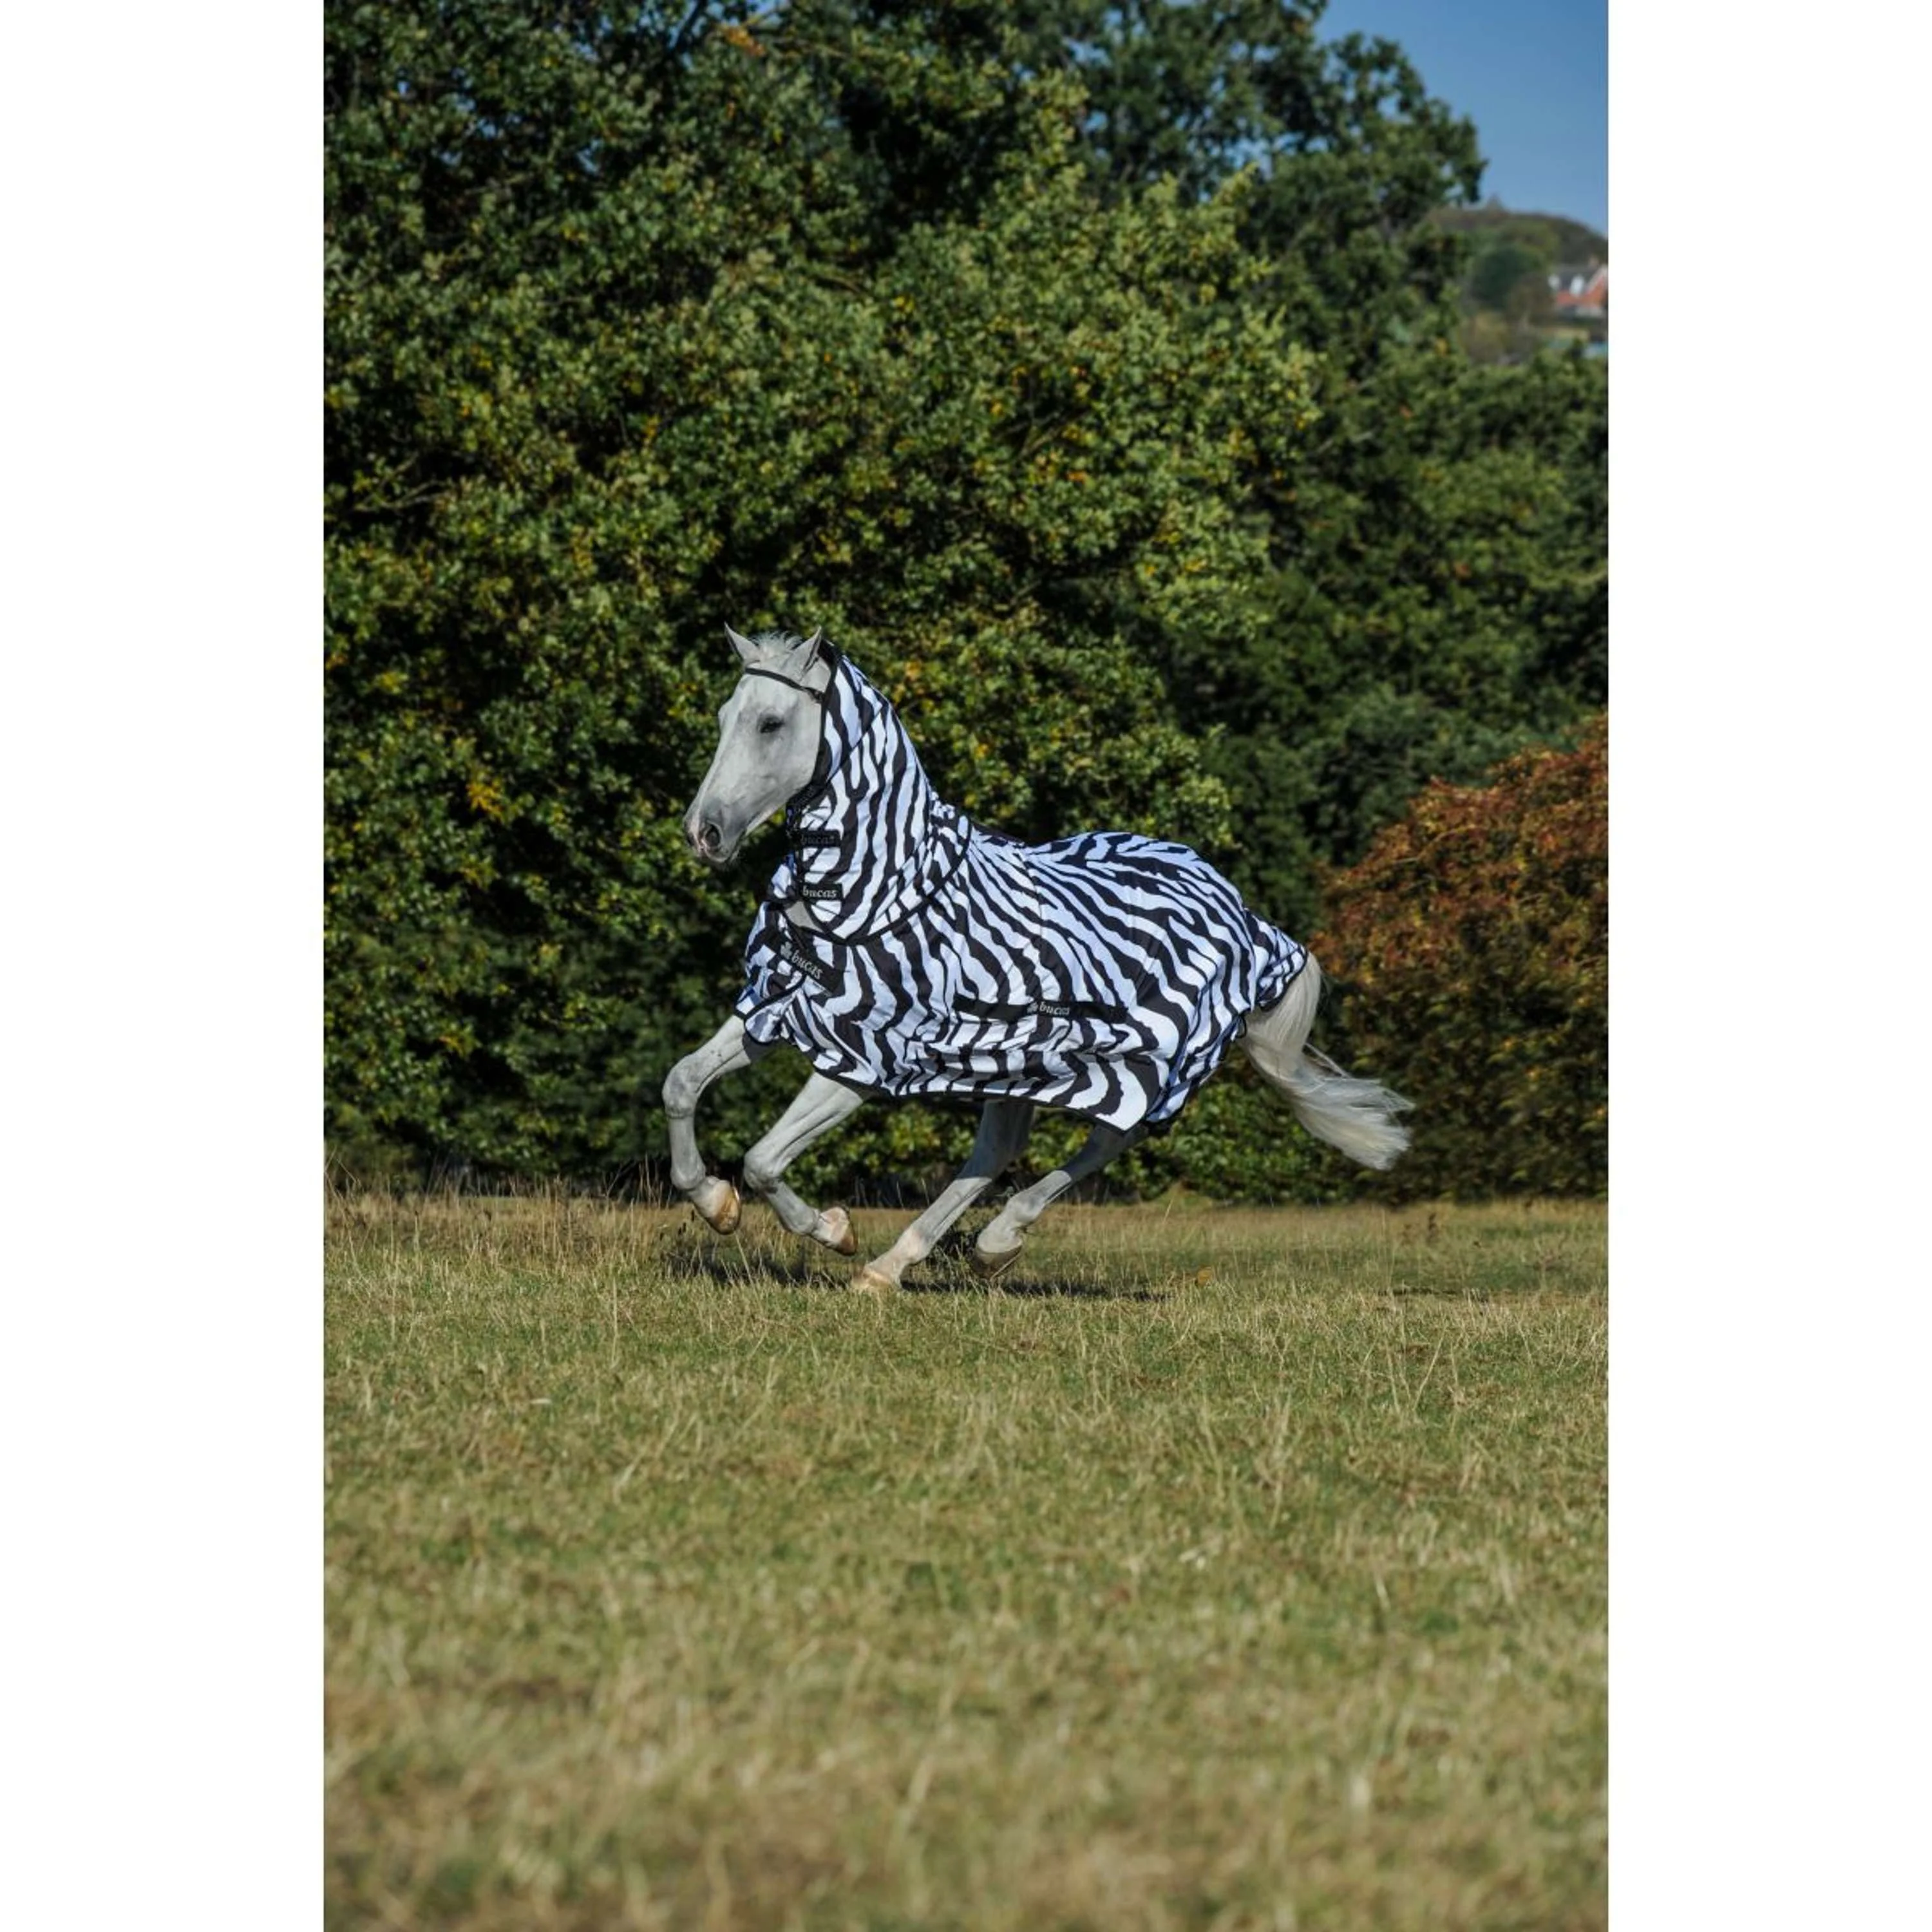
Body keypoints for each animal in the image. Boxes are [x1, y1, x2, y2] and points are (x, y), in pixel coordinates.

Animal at [664, 625, 1409, 1292]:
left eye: (771, 723)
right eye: (726, 716)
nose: (704, 833)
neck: (876, 888)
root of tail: (1243, 914)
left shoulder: (865, 1057)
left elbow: (763, 1161)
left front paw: (833, 1230)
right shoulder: (780, 1006)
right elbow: (681, 1084)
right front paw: (715, 1204)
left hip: (1141, 1065)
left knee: (1105, 1142)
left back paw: (986, 1244)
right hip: (1016, 1064)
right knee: (996, 1154)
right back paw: (896, 1266)